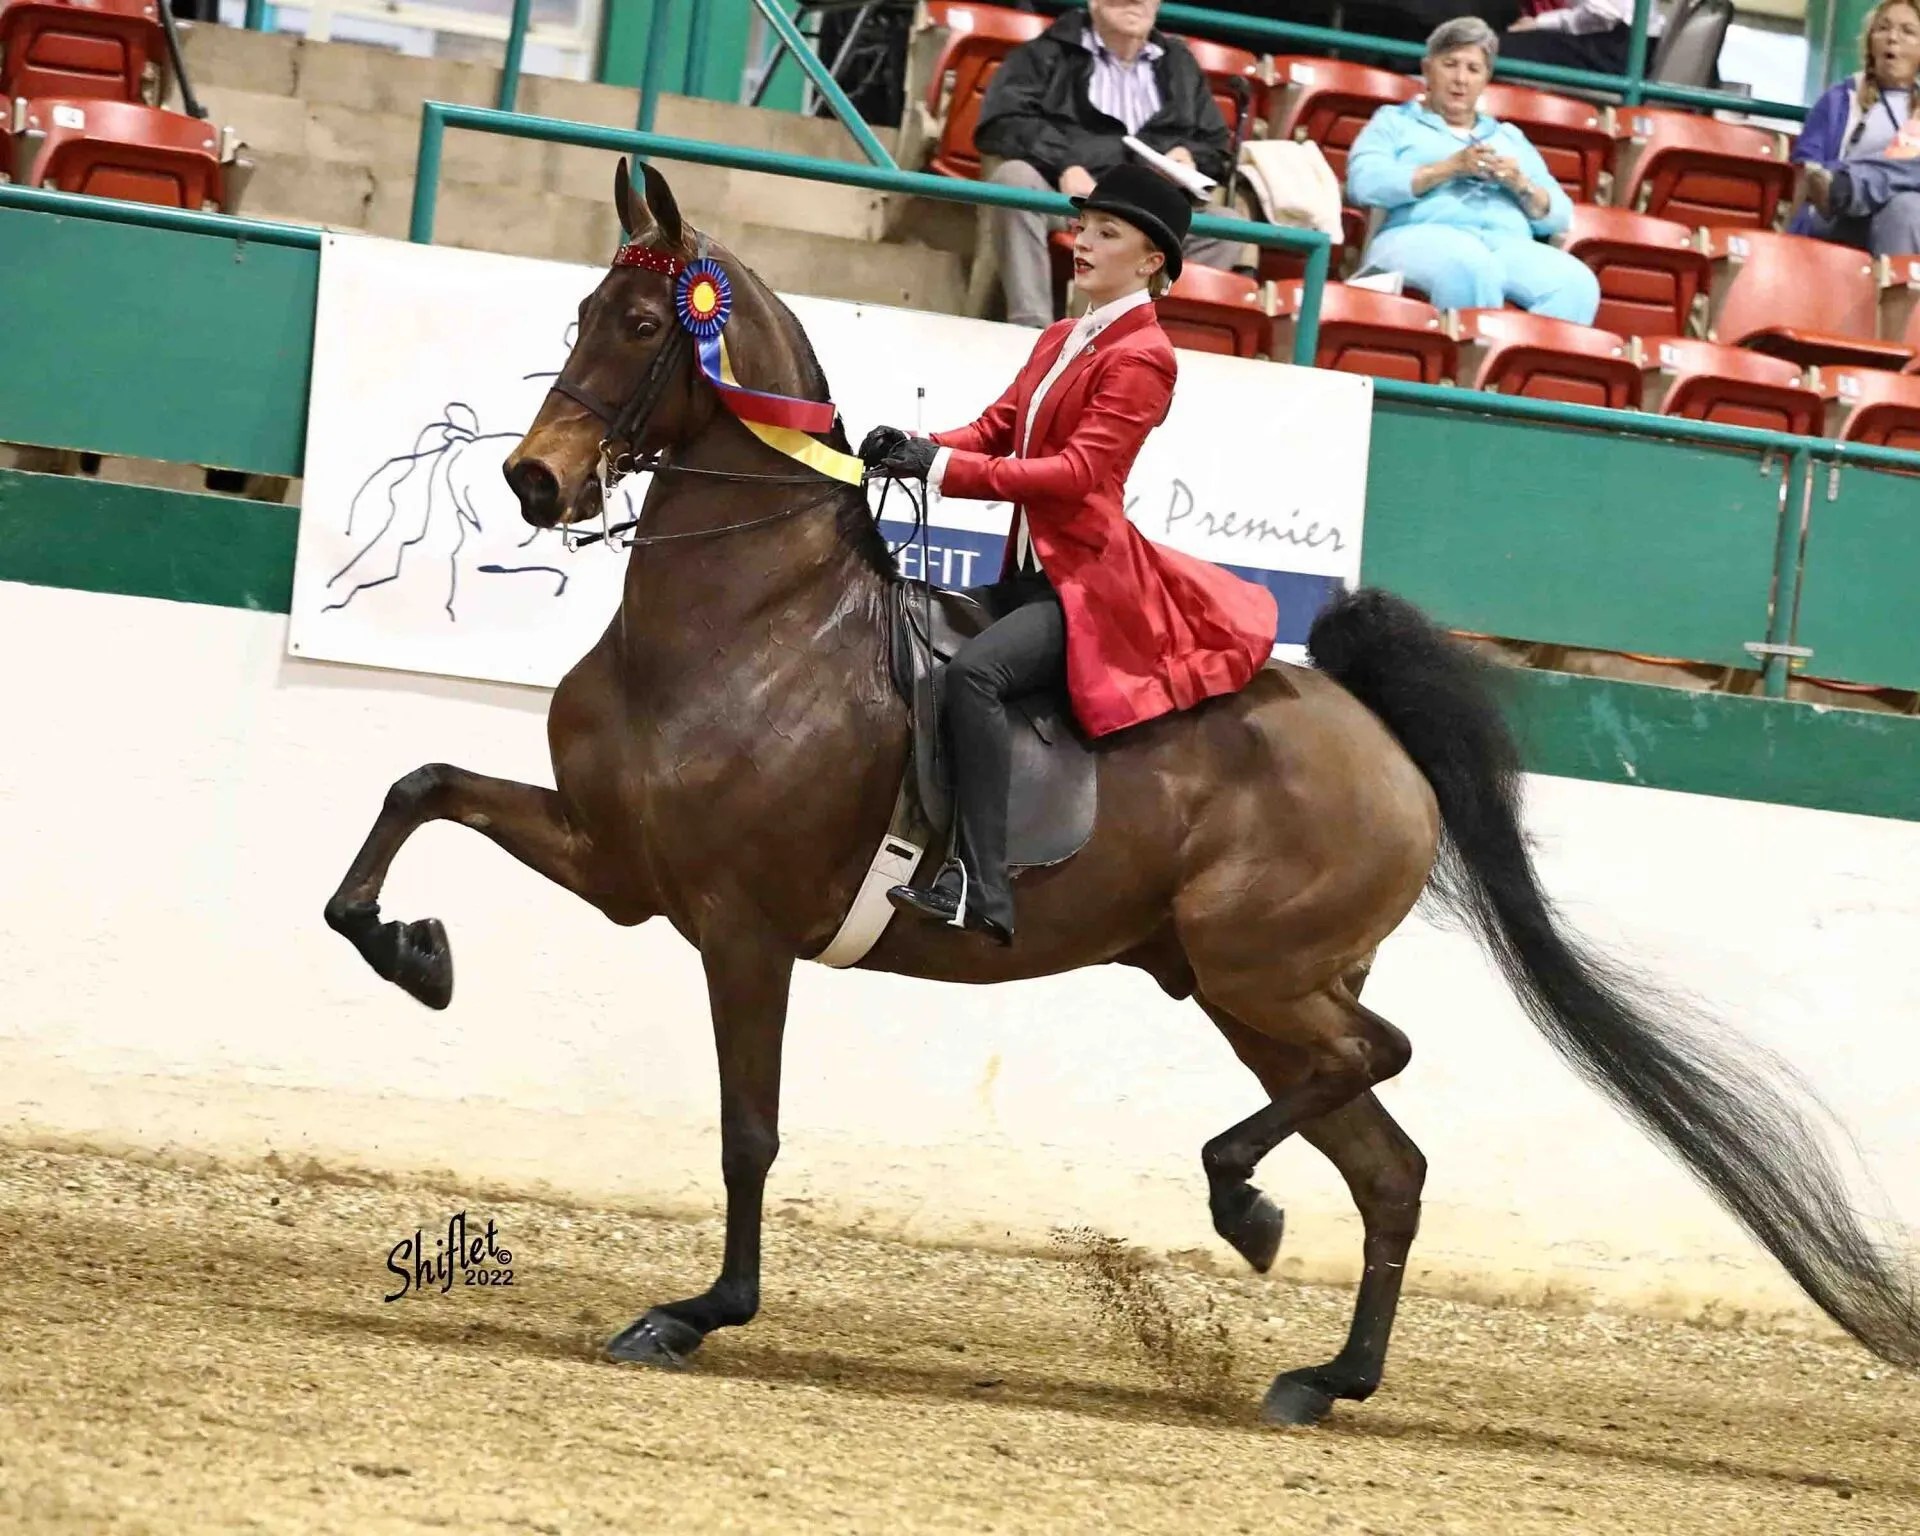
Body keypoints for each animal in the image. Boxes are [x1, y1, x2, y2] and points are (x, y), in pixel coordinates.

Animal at [325, 160, 1920, 1425]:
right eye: (583, 320)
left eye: (648, 326)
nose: (536, 485)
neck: (747, 623)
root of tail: (1375, 735)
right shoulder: (619, 864)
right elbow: (418, 786)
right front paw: (416, 955)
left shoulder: (741, 925)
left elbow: (747, 1130)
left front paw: (695, 1313)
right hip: (1248, 990)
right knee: (1390, 1163)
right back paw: (1324, 1375)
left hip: (1259, 970)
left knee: (1382, 1064)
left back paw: (1242, 1202)